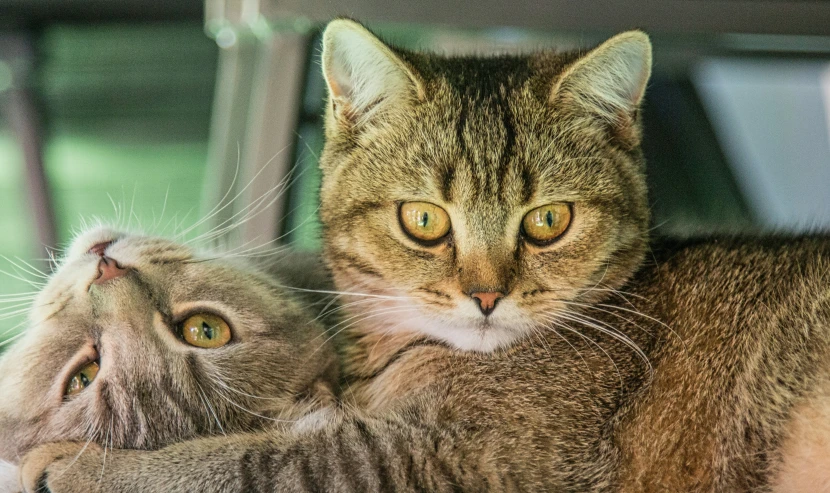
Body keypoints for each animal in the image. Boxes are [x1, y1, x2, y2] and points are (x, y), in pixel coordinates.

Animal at [14, 20, 830, 492]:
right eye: (424, 220)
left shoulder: (458, 459)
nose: (486, 294)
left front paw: (81, 465)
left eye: (550, 220)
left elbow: (251, 459)